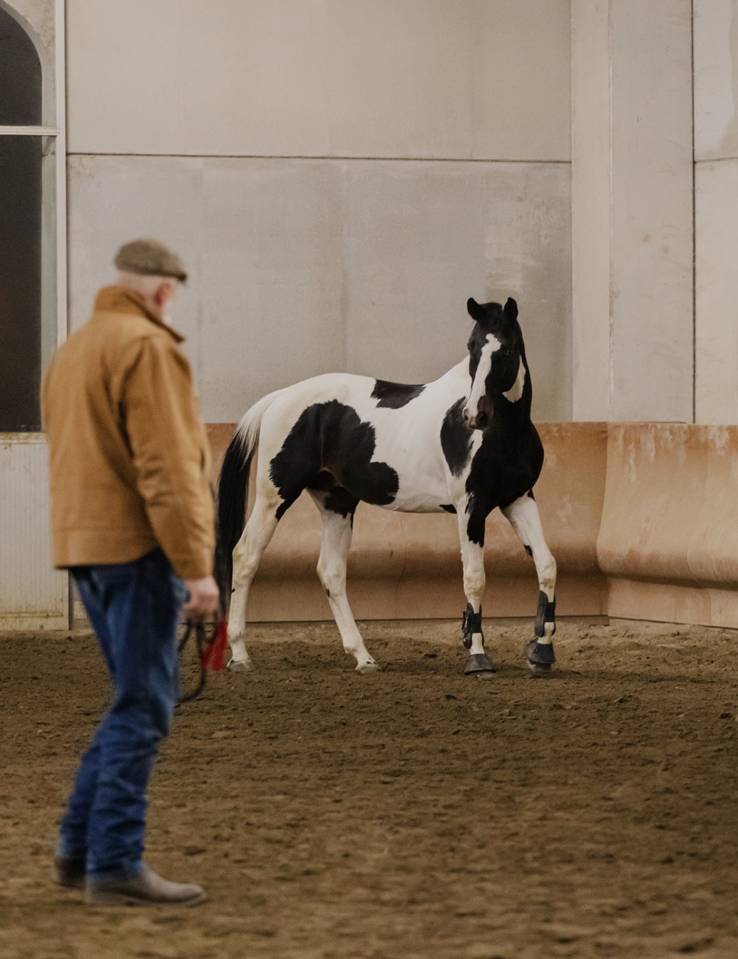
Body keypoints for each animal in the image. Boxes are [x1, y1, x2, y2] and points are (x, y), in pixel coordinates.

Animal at [215, 296, 557, 678]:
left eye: (507, 348)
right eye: (471, 346)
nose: (474, 415)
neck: (503, 433)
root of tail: (279, 398)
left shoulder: (518, 499)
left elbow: (546, 565)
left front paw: (541, 651)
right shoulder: (471, 506)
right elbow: (474, 577)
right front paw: (478, 657)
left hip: (336, 502)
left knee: (331, 572)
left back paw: (363, 657)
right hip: (274, 496)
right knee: (245, 556)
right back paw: (240, 655)